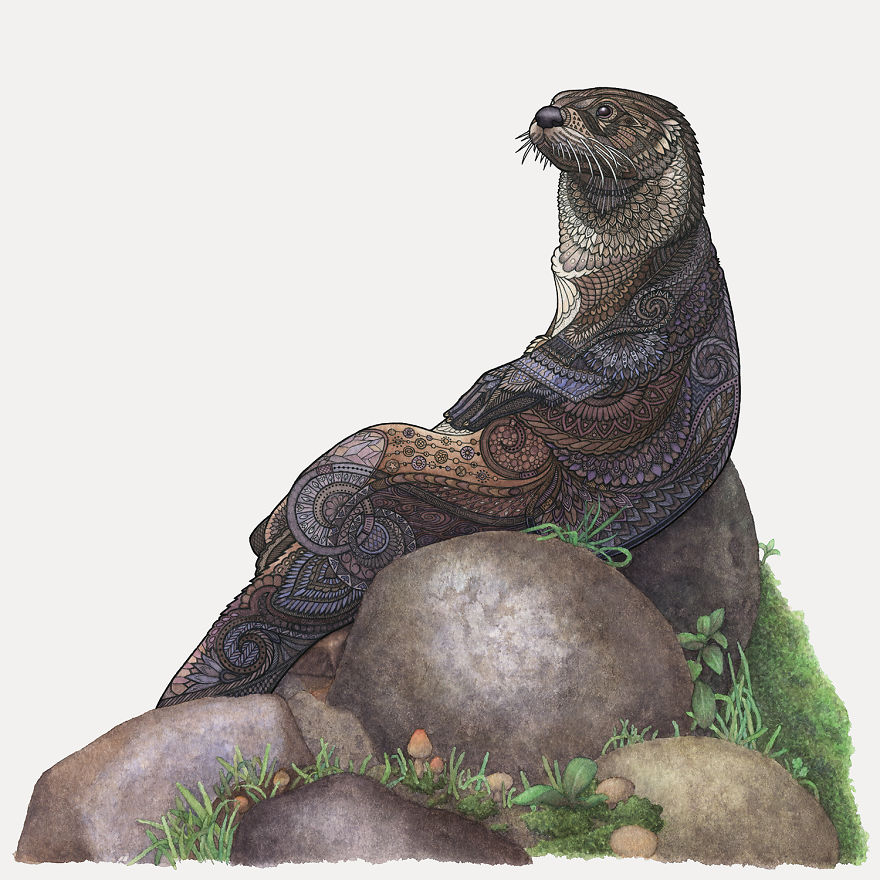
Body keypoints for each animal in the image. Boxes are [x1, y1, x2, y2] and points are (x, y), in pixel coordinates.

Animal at [158, 87, 739, 706]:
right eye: (558, 97)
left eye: (604, 111)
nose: (548, 115)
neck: (593, 275)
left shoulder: (668, 298)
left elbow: (611, 359)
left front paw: (497, 385)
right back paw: (266, 533)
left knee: (367, 452)